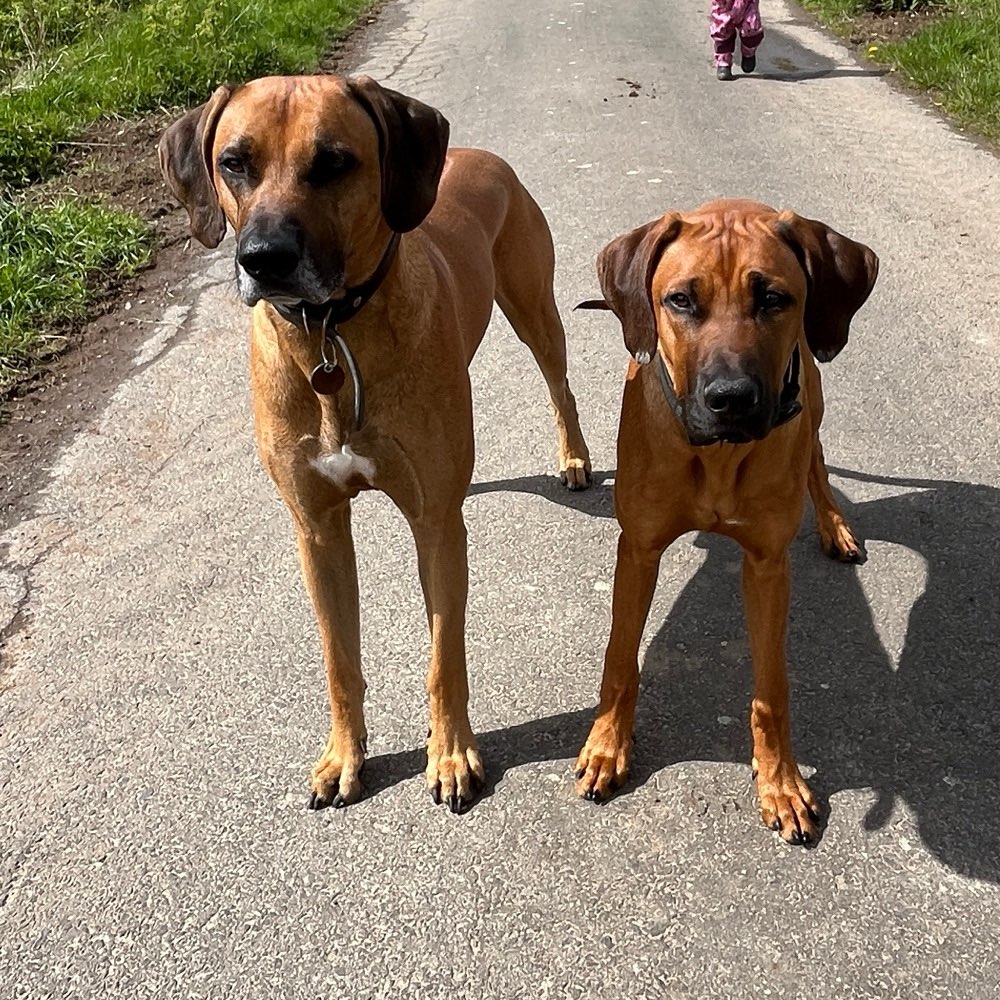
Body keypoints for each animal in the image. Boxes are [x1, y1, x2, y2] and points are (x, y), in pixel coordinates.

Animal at [159, 76, 588, 812]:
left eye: (333, 161)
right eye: (234, 162)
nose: (263, 260)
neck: (330, 333)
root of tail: (479, 154)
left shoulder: (436, 530)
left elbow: (444, 655)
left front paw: (451, 755)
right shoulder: (317, 527)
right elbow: (339, 659)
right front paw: (344, 756)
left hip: (534, 305)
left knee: (559, 383)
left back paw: (575, 457)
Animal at [576, 201, 880, 844]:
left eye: (773, 298)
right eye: (680, 300)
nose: (731, 399)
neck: (717, 456)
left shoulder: (767, 564)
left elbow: (771, 690)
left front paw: (780, 781)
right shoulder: (638, 550)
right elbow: (620, 660)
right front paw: (607, 746)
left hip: (812, 394)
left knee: (815, 456)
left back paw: (835, 526)